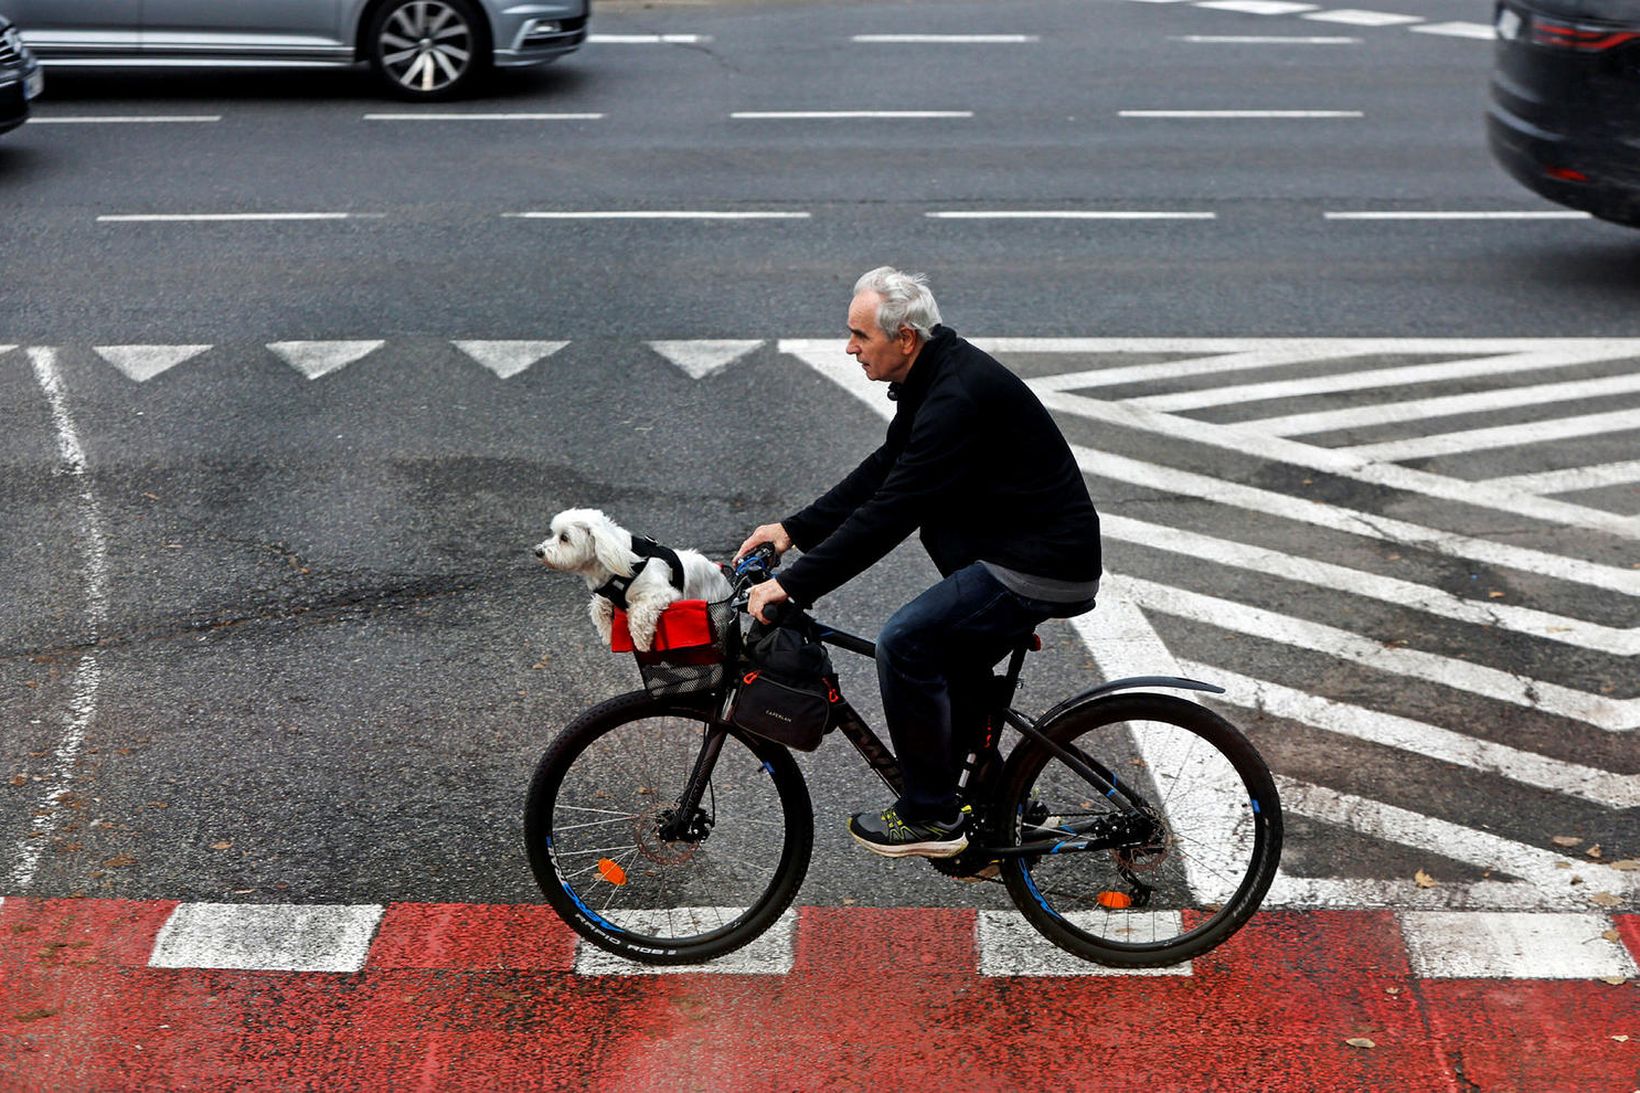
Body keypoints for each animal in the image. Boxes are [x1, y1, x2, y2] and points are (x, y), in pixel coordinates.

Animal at [531, 508, 731, 649]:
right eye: (554, 534)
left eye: (564, 537)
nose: (538, 551)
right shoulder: (607, 594)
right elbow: (597, 607)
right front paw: (607, 631)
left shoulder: (661, 593)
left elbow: (638, 612)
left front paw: (641, 642)